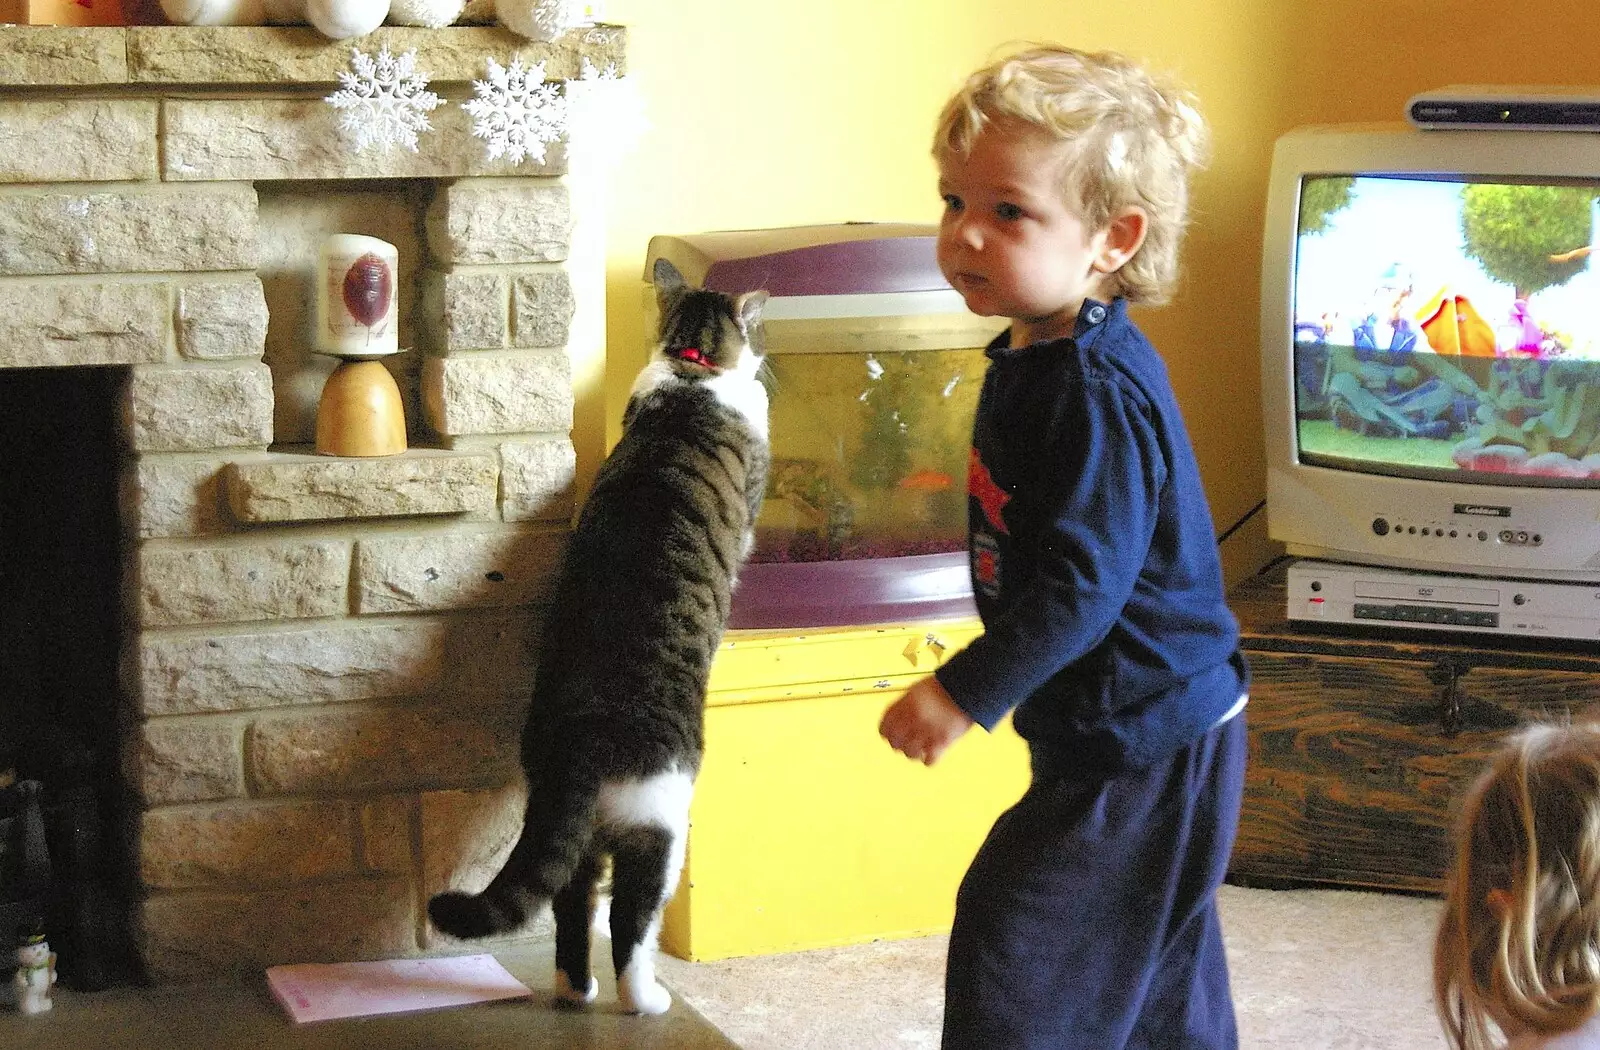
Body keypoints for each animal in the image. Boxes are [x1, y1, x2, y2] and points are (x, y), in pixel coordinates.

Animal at [428, 257, 771, 1011]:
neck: (692, 372)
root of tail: (581, 739)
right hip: (662, 818)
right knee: (630, 915)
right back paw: (645, 1000)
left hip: (576, 828)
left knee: (570, 900)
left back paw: (575, 991)